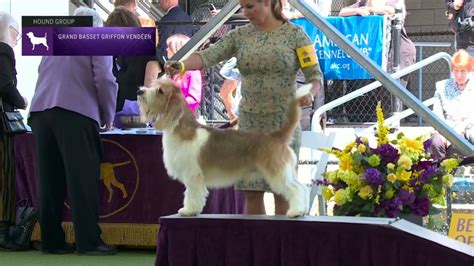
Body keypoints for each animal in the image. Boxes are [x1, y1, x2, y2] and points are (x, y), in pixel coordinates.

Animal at [136, 78, 312, 216]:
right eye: (154, 85)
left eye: (160, 91)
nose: (140, 91)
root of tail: (275, 136)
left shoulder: (193, 175)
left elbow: (191, 194)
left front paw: (188, 210)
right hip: (287, 172)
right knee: (302, 188)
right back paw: (302, 210)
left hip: (278, 173)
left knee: (295, 189)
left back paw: (296, 211)